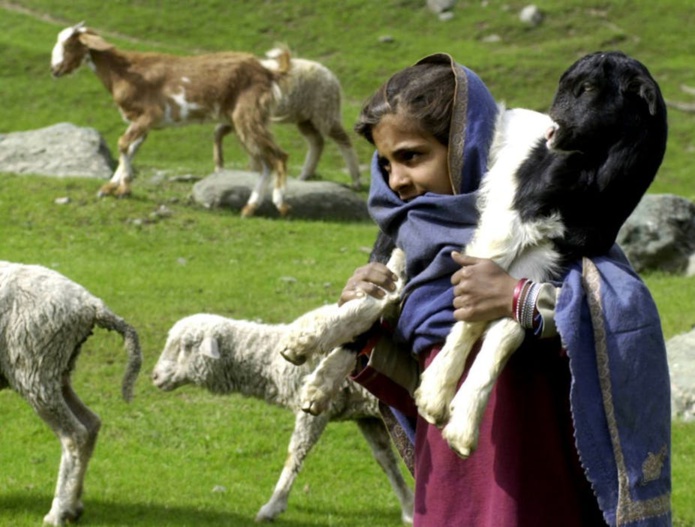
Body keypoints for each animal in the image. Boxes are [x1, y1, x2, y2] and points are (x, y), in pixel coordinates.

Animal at [0, 262, 143, 524]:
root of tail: (90, 303)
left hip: (35, 366)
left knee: (74, 435)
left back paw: (58, 511)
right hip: (57, 370)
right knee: (91, 423)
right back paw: (74, 506)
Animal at [51, 22, 294, 217]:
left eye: (70, 45)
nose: (55, 70)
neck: (124, 72)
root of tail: (268, 73)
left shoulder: (149, 115)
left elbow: (123, 144)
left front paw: (123, 188)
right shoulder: (143, 123)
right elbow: (131, 149)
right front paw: (111, 187)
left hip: (248, 115)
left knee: (279, 156)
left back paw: (280, 204)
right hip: (242, 121)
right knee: (265, 162)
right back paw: (249, 208)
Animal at [152, 314, 414, 524]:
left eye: (186, 345)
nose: (154, 376)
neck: (273, 361)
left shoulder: (314, 411)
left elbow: (295, 453)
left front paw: (273, 506)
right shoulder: (365, 416)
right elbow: (386, 460)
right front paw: (409, 507)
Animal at [256, 50, 364, 190]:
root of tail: (332, 77)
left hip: (324, 110)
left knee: (343, 139)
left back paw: (356, 180)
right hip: (306, 117)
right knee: (317, 142)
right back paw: (305, 175)